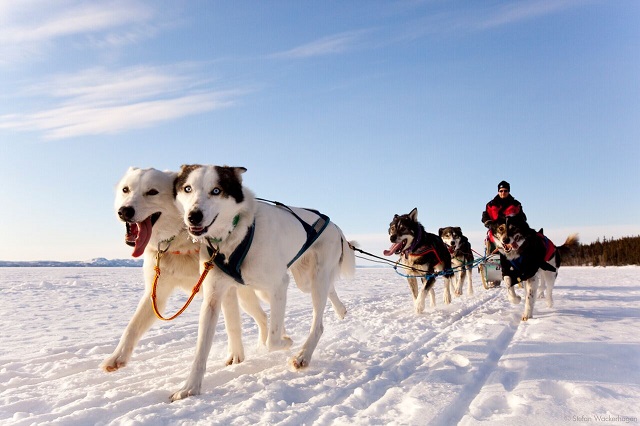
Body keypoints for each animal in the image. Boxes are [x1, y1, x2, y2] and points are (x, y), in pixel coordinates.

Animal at [102, 167, 268, 372]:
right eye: (126, 190)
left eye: (152, 192)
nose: (125, 211)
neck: (182, 242)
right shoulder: (157, 292)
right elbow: (132, 327)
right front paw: (117, 357)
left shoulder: (223, 290)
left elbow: (232, 324)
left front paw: (236, 357)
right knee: (263, 317)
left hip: (245, 295)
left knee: (263, 316)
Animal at [170, 165, 356, 402]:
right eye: (187, 188)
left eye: (216, 190)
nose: (193, 216)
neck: (235, 235)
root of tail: (335, 226)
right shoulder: (214, 295)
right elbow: (201, 349)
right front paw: (190, 387)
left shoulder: (279, 285)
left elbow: (272, 340)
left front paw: (286, 342)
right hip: (303, 281)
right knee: (329, 289)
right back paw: (340, 310)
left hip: (314, 279)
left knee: (318, 324)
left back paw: (302, 356)